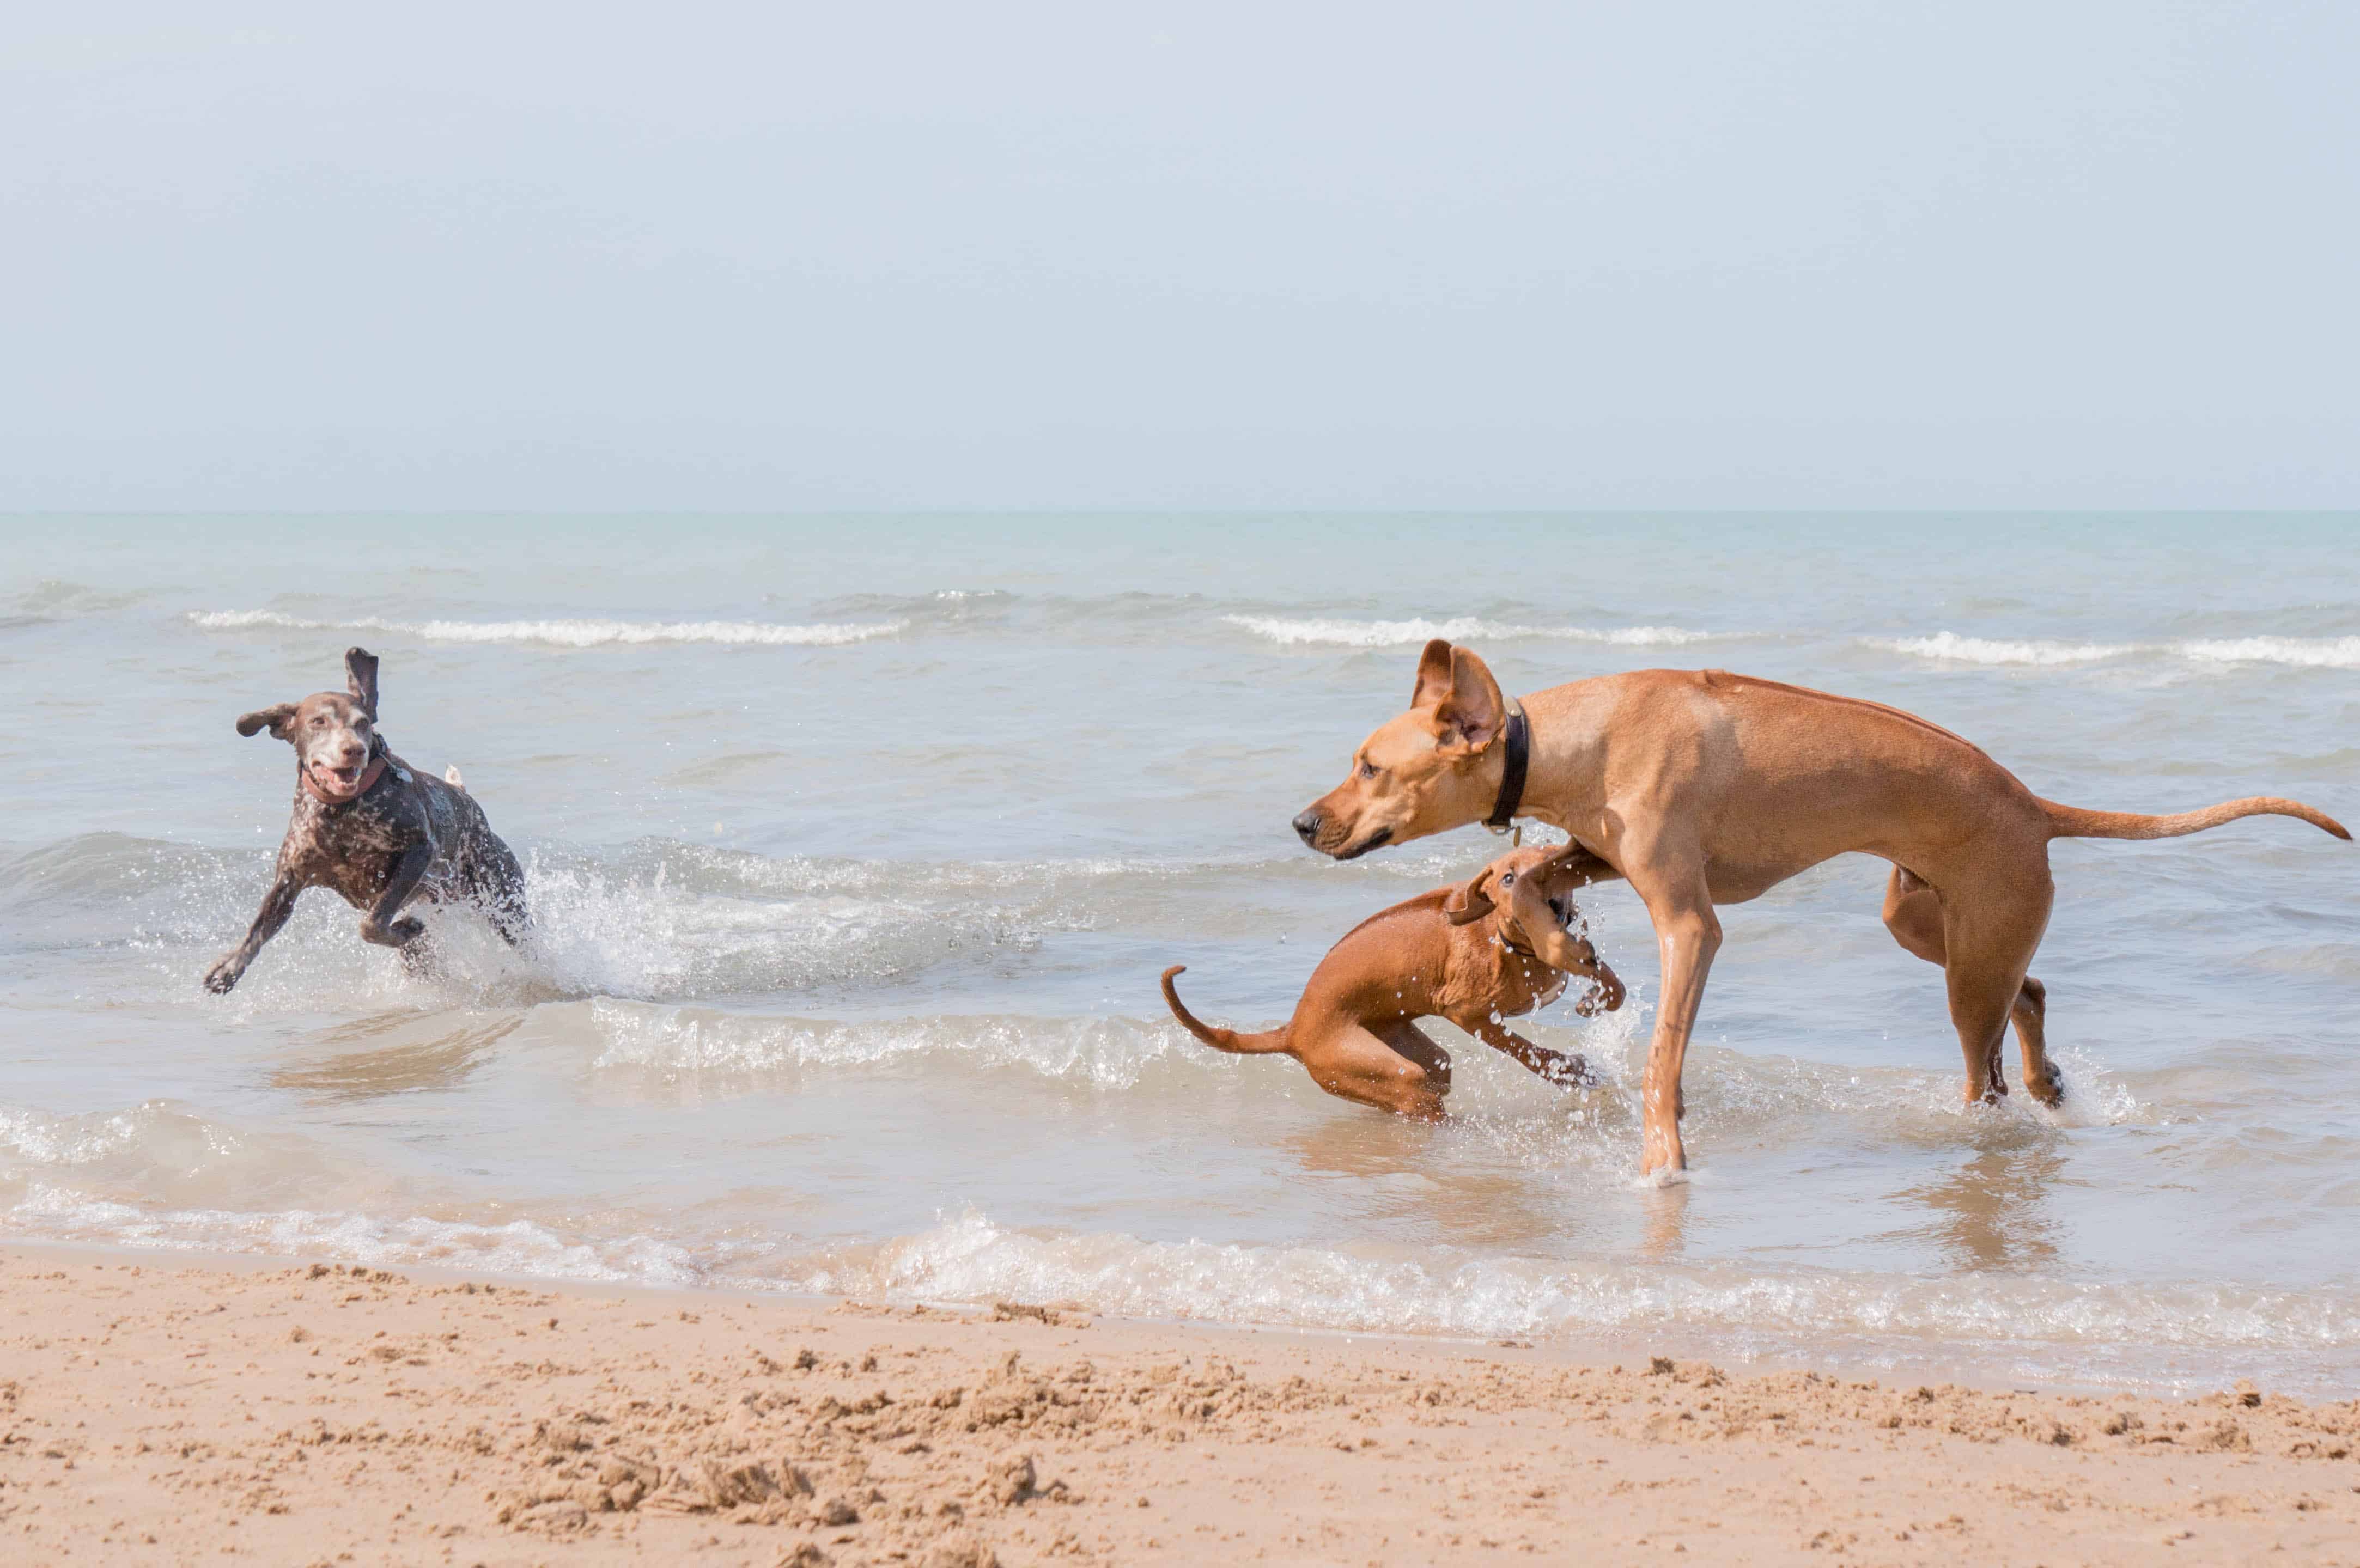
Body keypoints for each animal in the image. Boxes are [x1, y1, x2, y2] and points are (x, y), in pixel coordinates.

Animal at [204, 646, 531, 990]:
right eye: (318, 721)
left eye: (362, 723)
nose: (354, 750)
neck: (341, 811)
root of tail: (469, 801)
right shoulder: (290, 879)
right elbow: (259, 928)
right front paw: (231, 967)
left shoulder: (419, 852)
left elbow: (372, 923)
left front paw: (400, 928)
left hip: (503, 903)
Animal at [1156, 844, 1623, 1113]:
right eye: (1508, 877)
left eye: (1551, 867)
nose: (1552, 903)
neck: (1507, 939)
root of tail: (1293, 1030)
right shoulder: (1467, 1014)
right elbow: (1524, 1048)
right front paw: (1570, 1071)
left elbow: (1611, 983)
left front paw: (1597, 999)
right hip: (1389, 1072)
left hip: (1416, 1055)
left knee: (1432, 1079)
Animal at [1303, 641, 2350, 1174]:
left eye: (1369, 765)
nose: (1303, 821)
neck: (1582, 732)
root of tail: (2033, 804)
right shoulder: (1602, 851)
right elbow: (1522, 868)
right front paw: (1549, 939)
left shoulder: (1690, 920)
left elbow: (1660, 1056)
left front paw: (1662, 1153)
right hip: (1928, 924)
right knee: (2033, 989)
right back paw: (2049, 1078)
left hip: (1966, 964)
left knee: (1985, 1066)